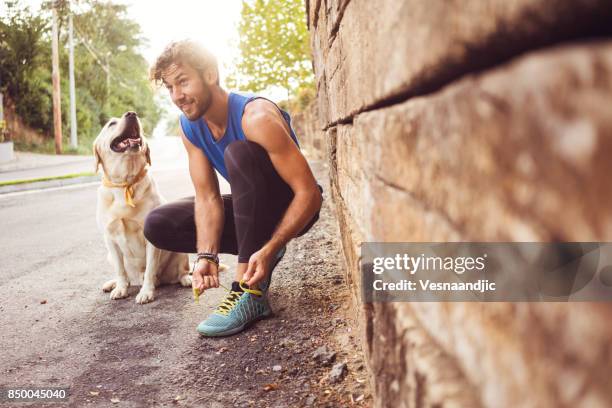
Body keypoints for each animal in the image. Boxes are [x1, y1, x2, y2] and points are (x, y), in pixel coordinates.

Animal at [93, 111, 191, 302]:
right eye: (111, 124)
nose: (131, 114)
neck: (125, 183)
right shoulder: (110, 238)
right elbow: (120, 270)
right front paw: (120, 288)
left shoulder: (150, 239)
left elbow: (150, 268)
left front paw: (146, 292)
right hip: (109, 255)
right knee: (126, 276)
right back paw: (113, 283)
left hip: (179, 252)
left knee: (181, 271)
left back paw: (186, 279)